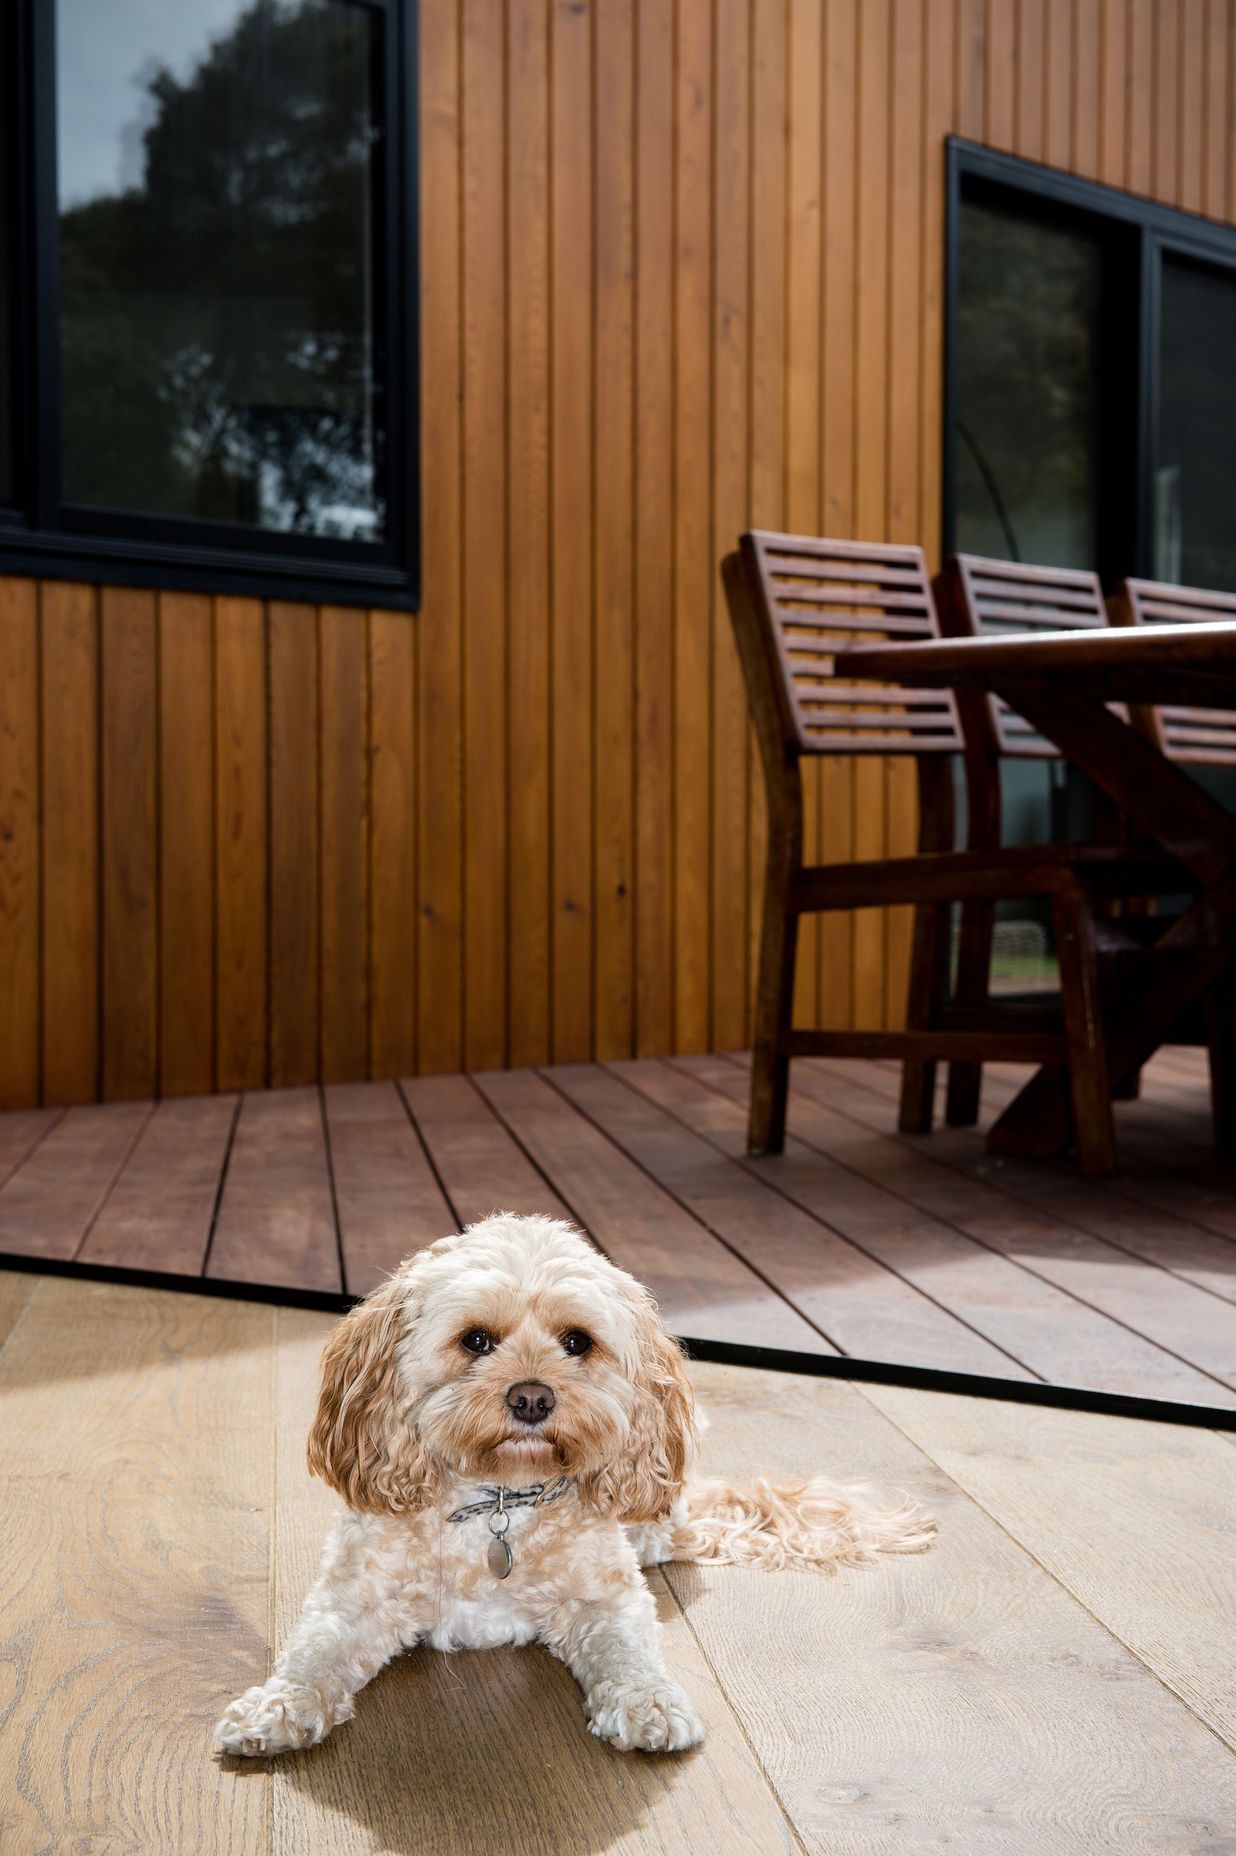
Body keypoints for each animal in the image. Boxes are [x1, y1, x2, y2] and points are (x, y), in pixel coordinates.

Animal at [211, 1210, 927, 1759]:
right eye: (476, 1340)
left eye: (577, 1342)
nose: (531, 1398)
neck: (499, 1500)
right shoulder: (353, 1600)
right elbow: (312, 1657)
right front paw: (277, 1708)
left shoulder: (607, 1599)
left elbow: (630, 1652)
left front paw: (650, 1704)